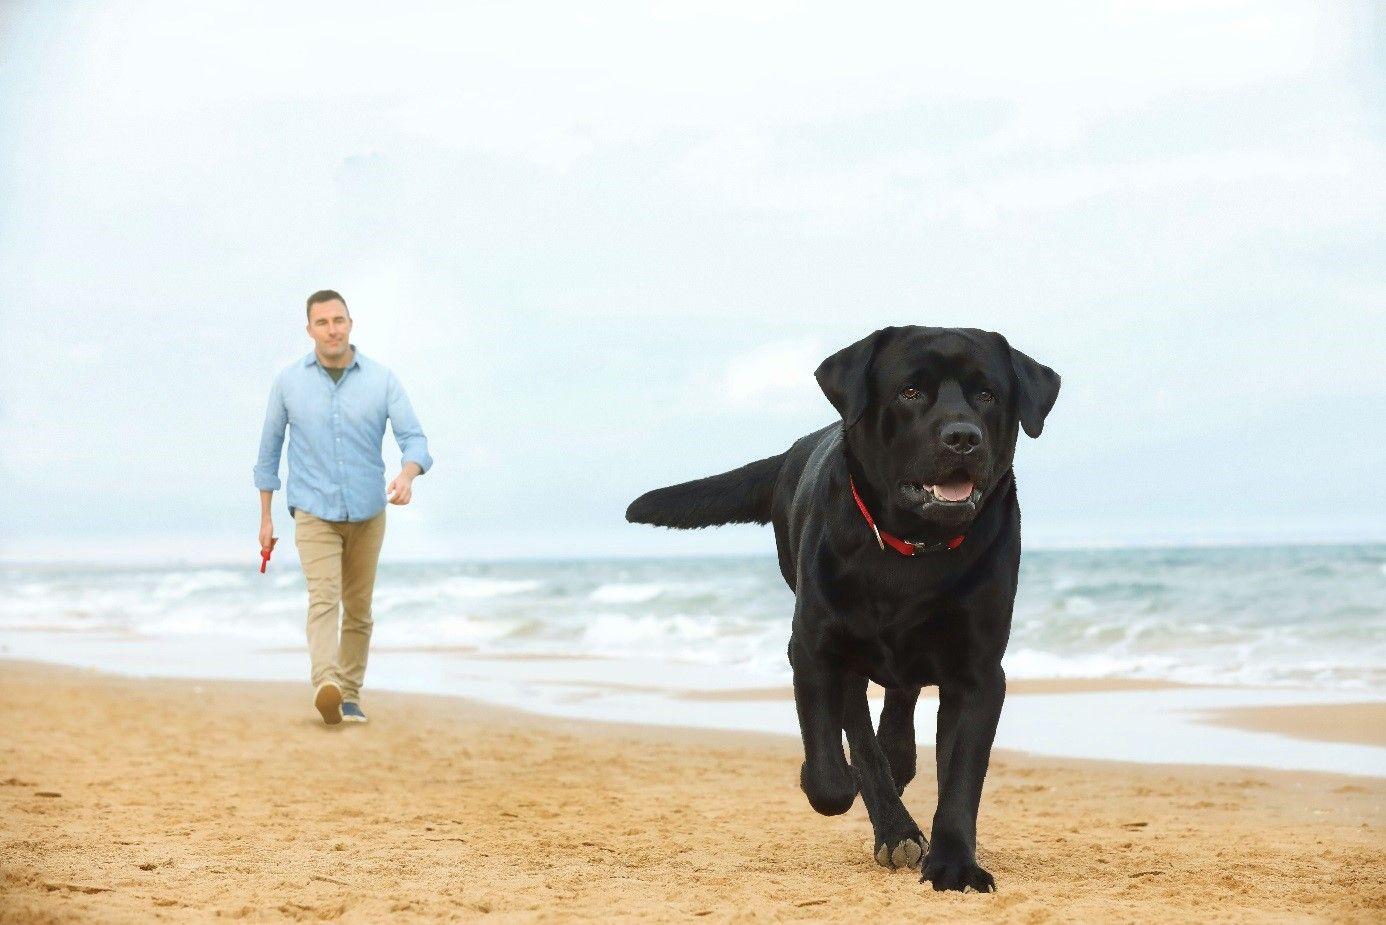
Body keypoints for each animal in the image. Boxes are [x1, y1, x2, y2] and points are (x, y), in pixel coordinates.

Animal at [629, 328, 1058, 893]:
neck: (913, 550)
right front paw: (878, 816)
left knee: (899, 700)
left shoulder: (979, 671)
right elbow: (837, 768)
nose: (963, 437)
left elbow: (962, 778)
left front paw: (954, 864)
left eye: (987, 395)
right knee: (858, 731)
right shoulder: (815, 647)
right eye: (910, 391)